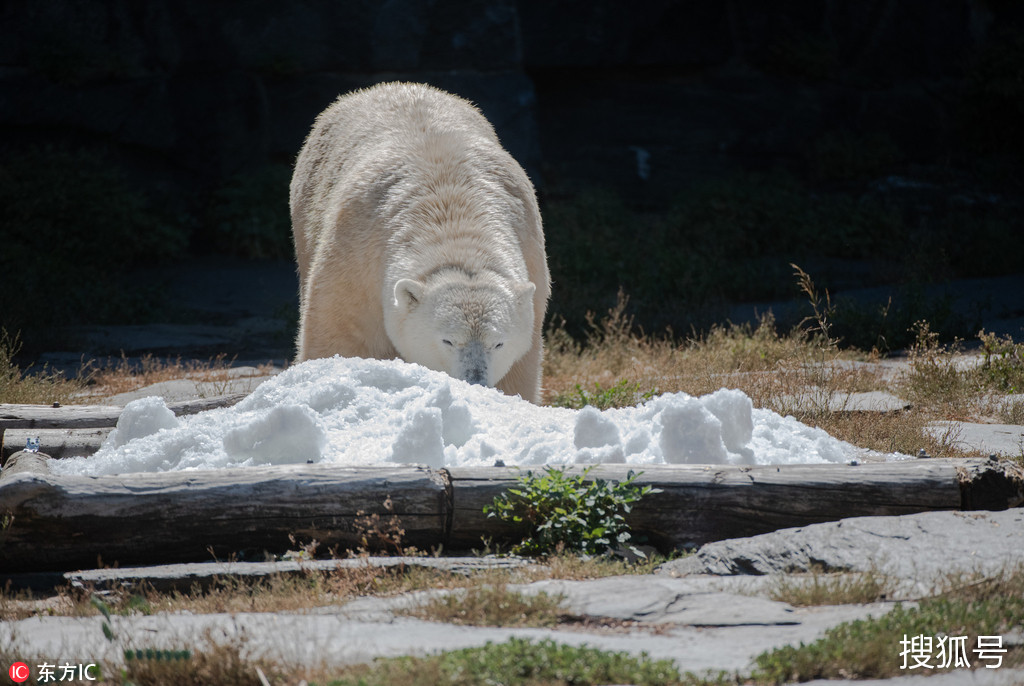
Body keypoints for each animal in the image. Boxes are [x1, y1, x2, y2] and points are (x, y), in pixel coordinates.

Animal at [288, 81, 552, 403]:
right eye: (448, 340)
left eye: (498, 343)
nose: (474, 381)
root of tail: (389, 86)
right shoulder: (356, 261)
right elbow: (342, 335)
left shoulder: (530, 255)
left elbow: (520, 371)